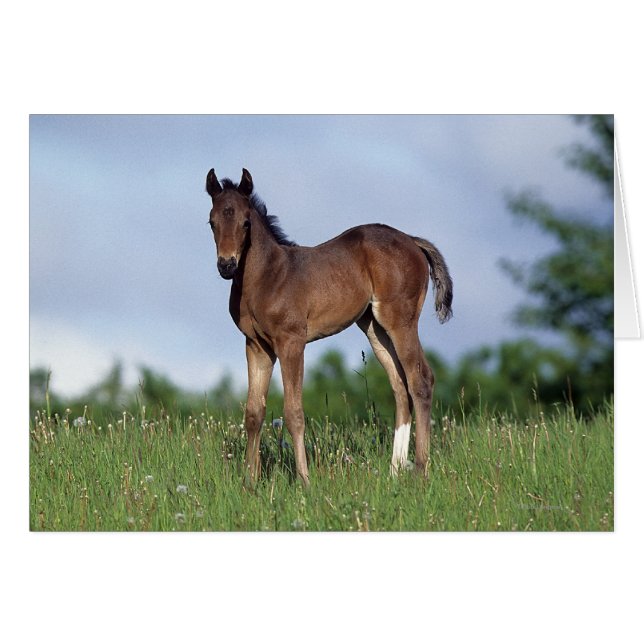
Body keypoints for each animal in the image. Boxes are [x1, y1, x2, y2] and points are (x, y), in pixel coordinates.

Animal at [206, 168, 453, 486]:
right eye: (211, 222)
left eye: (246, 222)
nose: (227, 266)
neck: (267, 276)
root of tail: (411, 240)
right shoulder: (256, 346)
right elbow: (253, 413)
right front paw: (249, 482)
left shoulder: (291, 342)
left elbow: (294, 412)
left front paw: (304, 480)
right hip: (374, 328)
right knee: (400, 387)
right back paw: (394, 471)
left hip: (401, 320)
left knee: (420, 380)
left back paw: (421, 470)